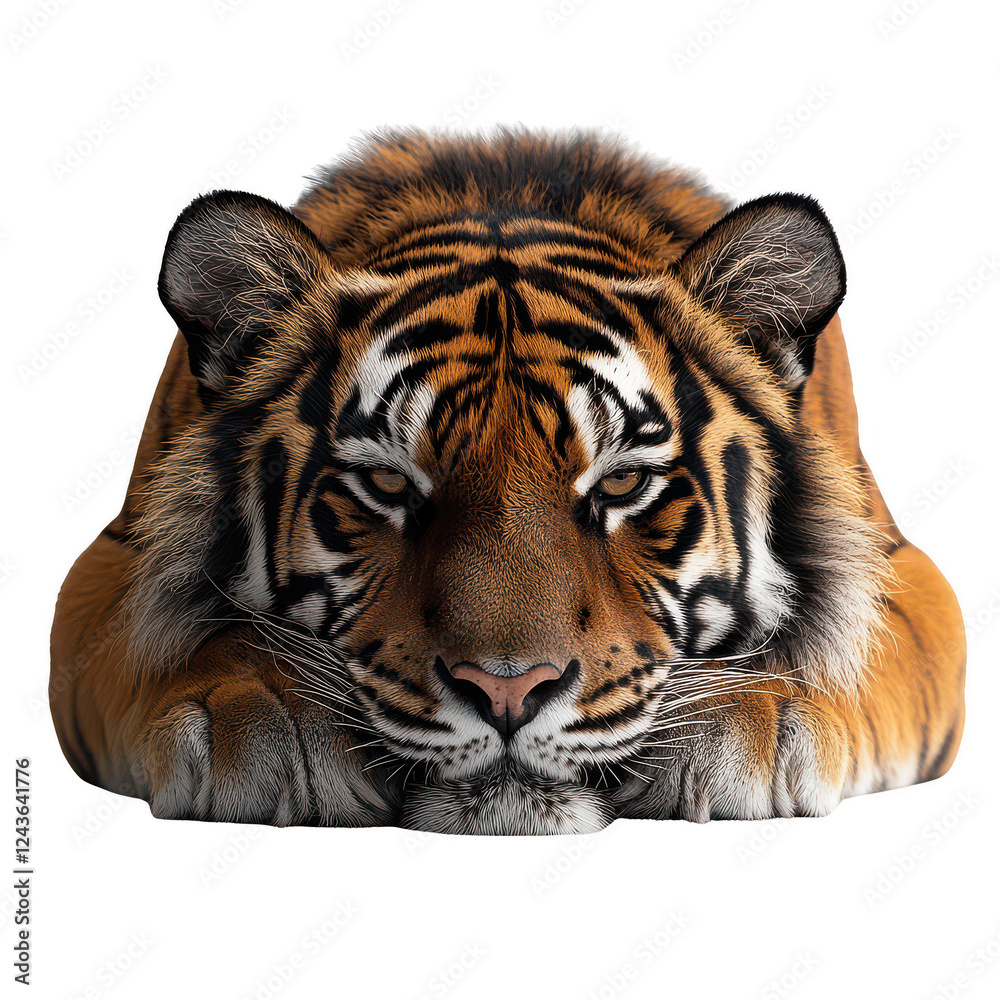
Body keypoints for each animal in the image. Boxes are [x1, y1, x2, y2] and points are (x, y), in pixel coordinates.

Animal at [49, 129, 966, 835]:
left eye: (622, 485)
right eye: (386, 485)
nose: (507, 690)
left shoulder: (905, 572)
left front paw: (748, 718)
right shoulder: (106, 568)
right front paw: (264, 716)